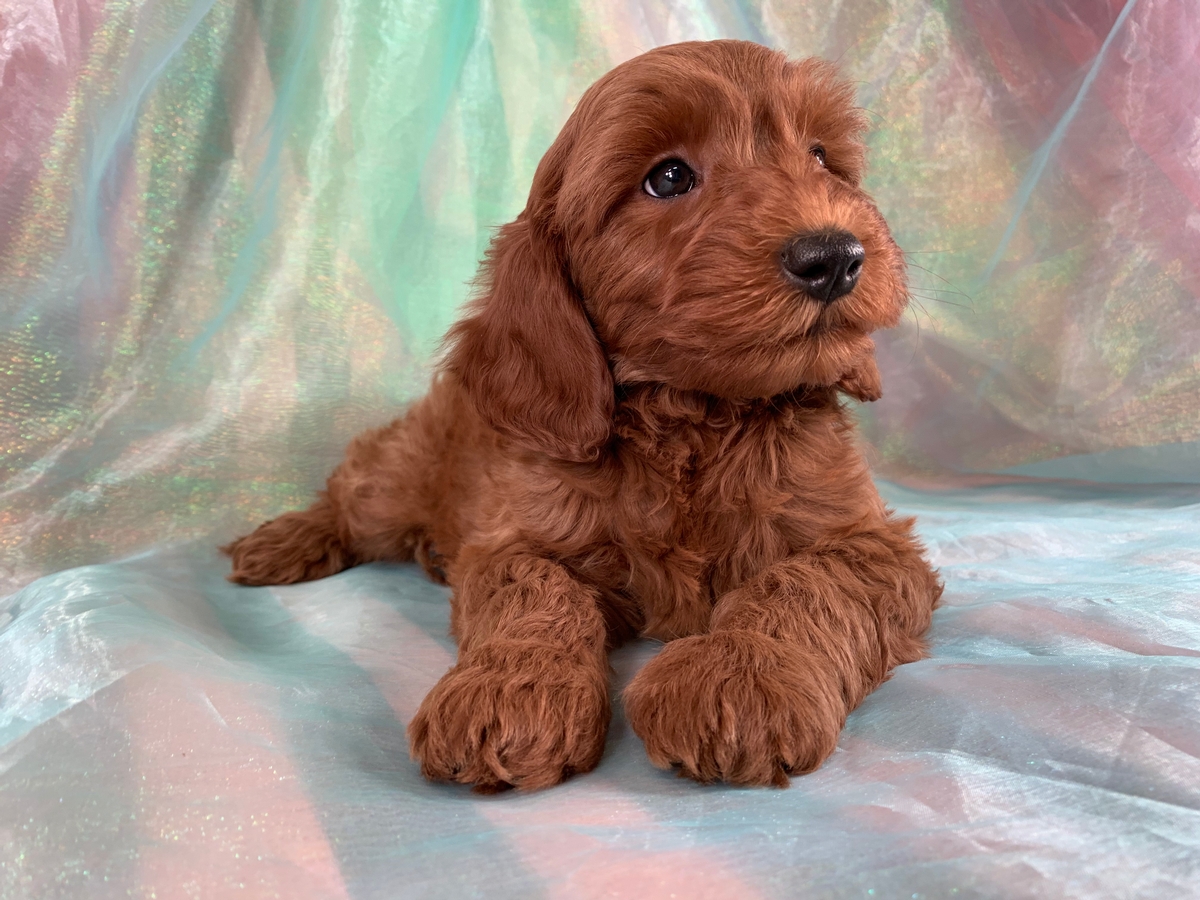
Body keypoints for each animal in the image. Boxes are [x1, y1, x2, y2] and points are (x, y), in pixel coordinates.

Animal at [223, 40, 936, 787]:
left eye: (822, 156)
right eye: (669, 177)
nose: (834, 256)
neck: (693, 418)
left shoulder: (871, 543)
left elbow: (803, 583)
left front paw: (734, 674)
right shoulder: (520, 533)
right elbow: (534, 588)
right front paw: (509, 690)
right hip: (396, 479)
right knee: (352, 494)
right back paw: (281, 541)